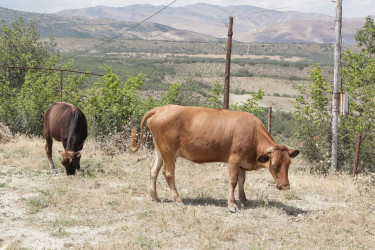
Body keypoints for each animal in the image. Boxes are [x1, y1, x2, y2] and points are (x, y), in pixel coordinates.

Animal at [131, 104, 302, 212]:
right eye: (274, 165)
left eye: (288, 164)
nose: (285, 186)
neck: (253, 133)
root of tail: (161, 109)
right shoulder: (234, 159)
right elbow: (233, 181)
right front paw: (232, 204)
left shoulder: (242, 162)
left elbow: (242, 180)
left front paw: (243, 198)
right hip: (169, 152)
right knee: (168, 173)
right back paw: (178, 198)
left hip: (160, 150)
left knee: (153, 170)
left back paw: (154, 196)